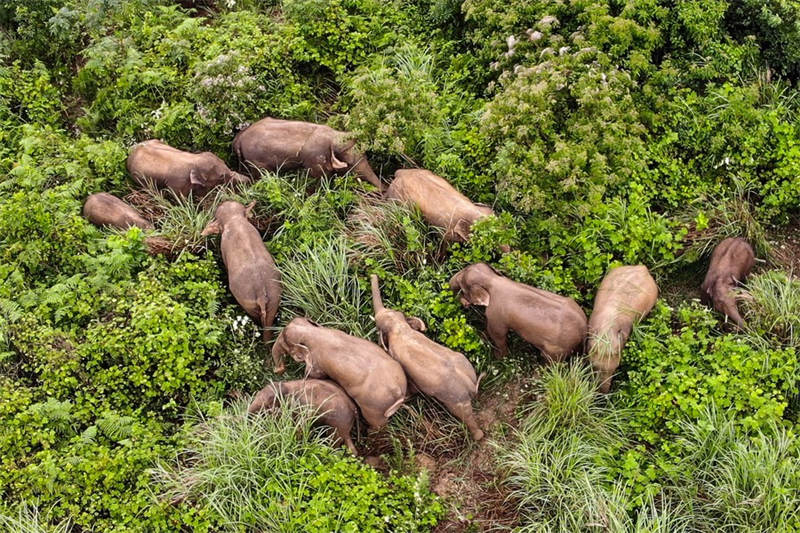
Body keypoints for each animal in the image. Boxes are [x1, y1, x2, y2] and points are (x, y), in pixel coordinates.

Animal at [272, 316, 406, 428]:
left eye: (286, 343)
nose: (278, 370)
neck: (312, 332)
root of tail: (397, 393)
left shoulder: (317, 363)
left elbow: (315, 374)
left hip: (373, 409)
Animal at [372, 274, 484, 440]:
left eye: (379, 327)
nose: (373, 275)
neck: (399, 327)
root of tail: (470, 384)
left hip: (455, 399)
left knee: (465, 415)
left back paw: (478, 436)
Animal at [450, 262, 588, 362]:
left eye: (462, 286)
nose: (465, 304)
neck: (493, 280)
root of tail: (584, 329)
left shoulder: (496, 314)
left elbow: (497, 333)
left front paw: (499, 357)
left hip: (557, 349)